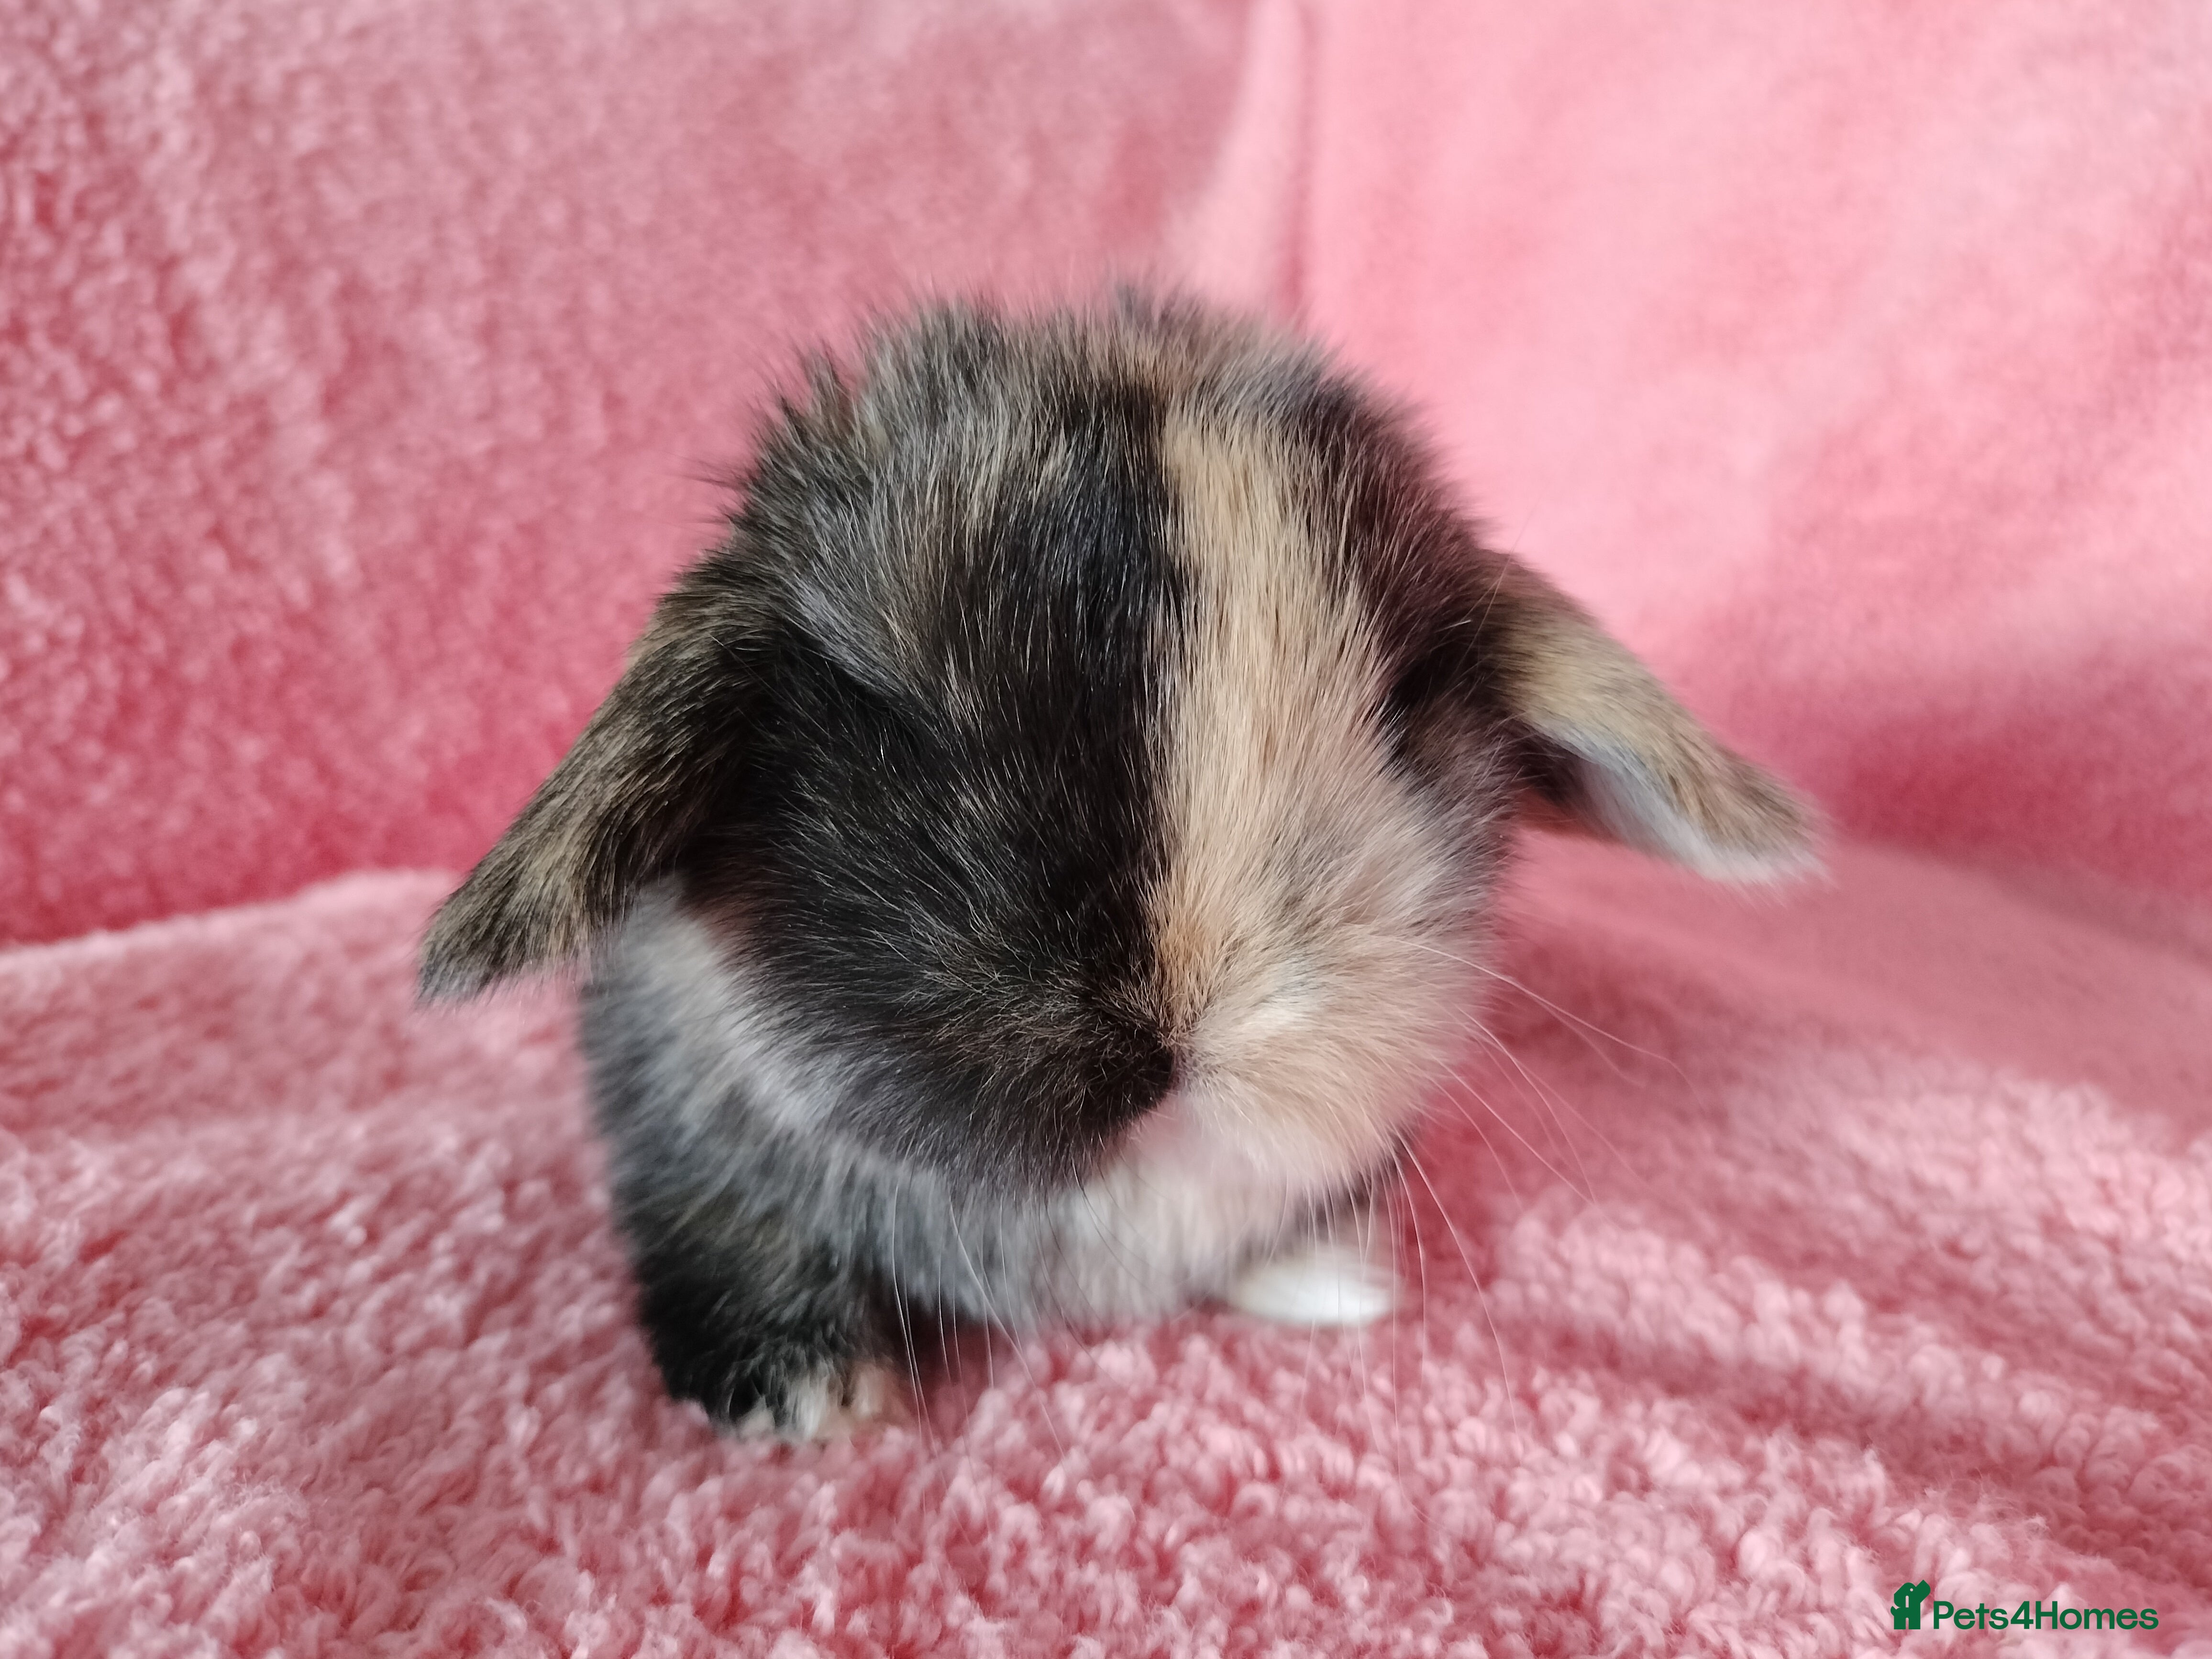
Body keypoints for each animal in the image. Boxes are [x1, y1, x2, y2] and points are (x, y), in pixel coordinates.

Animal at [419, 292, 1814, 1440]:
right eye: (892, 712)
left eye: (1403, 699)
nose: (1184, 1040)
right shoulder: (671, 1117)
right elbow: (729, 1229)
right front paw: (814, 1399)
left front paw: (1336, 1283)